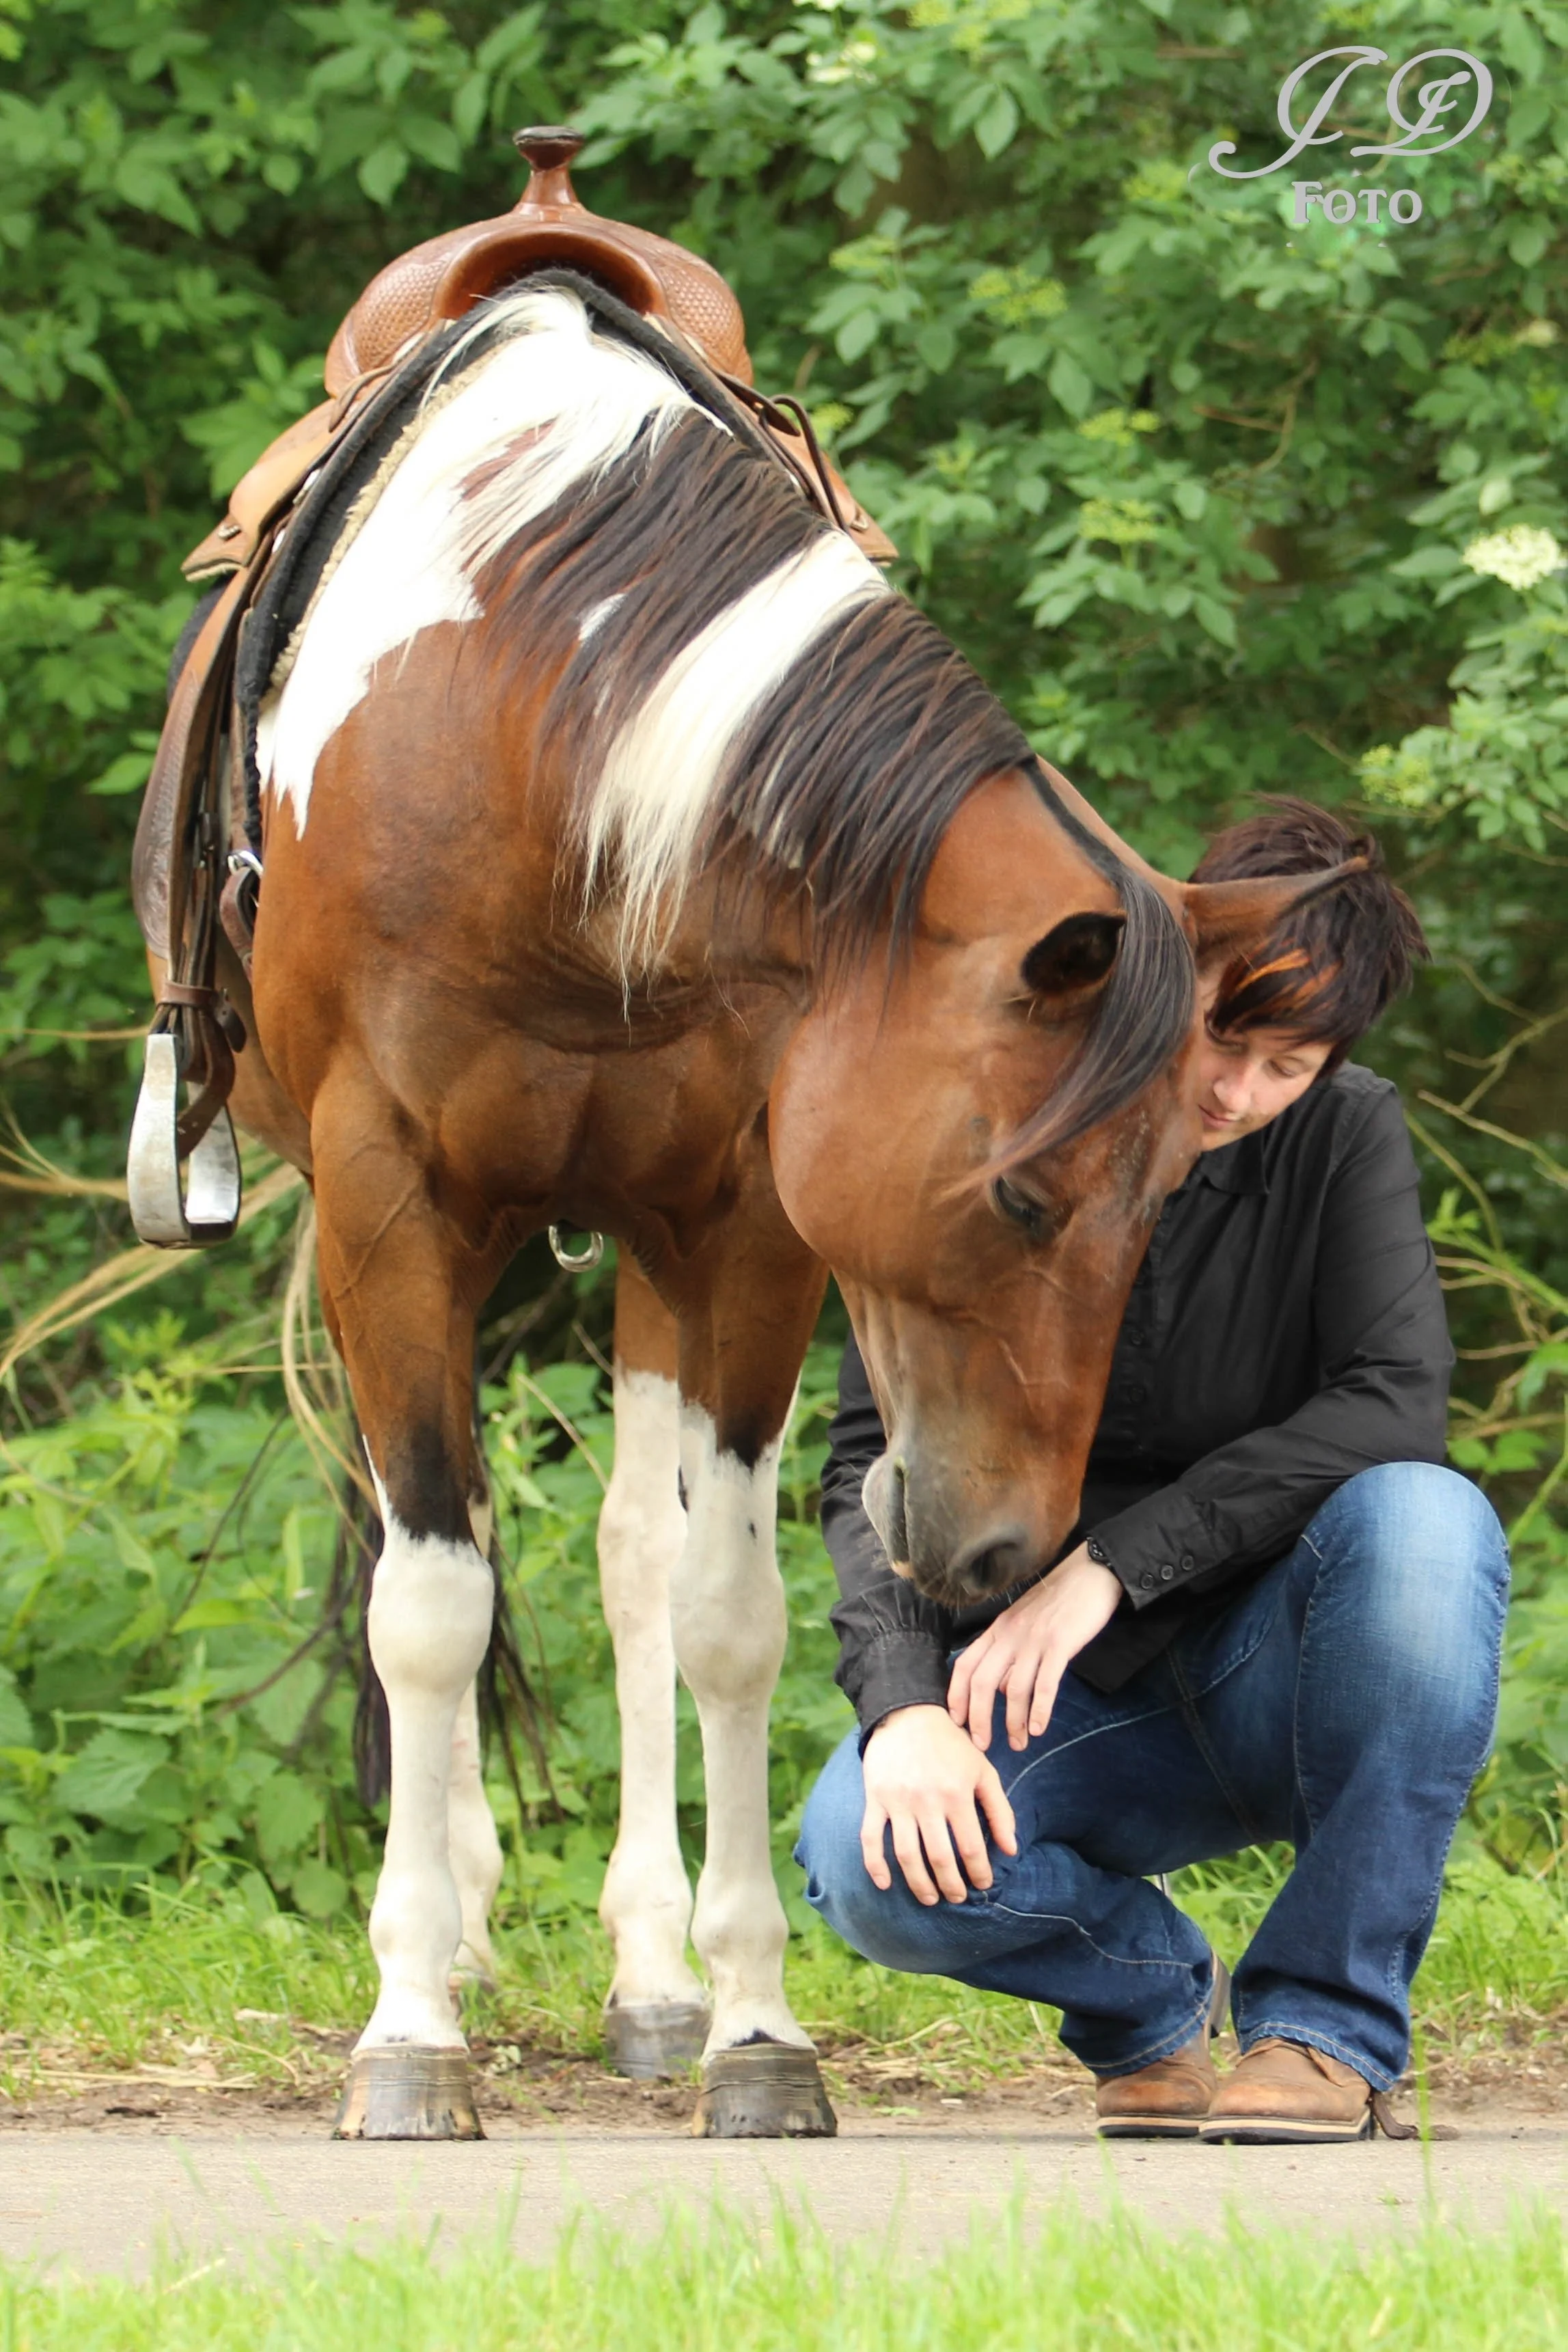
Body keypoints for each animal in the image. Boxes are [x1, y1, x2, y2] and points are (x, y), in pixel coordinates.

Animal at [156, 271, 1333, 2140]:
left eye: (1165, 1196)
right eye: (1022, 1189)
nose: (1007, 1552)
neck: (534, 729)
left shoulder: (740, 1229)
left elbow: (723, 1615)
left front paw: (750, 2023)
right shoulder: (386, 1210)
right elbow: (429, 1607)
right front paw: (410, 2022)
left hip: (638, 1249)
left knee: (630, 1563)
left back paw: (644, 1979)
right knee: (441, 1556)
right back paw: (461, 1931)